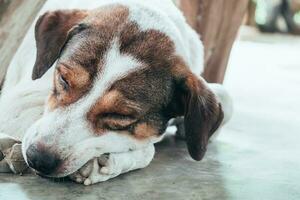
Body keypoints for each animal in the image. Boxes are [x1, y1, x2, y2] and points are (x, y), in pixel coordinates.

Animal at [0, 0, 232, 186]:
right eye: (64, 80)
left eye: (120, 115)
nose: (37, 159)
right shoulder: (15, 105)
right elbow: (148, 148)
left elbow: (226, 97)